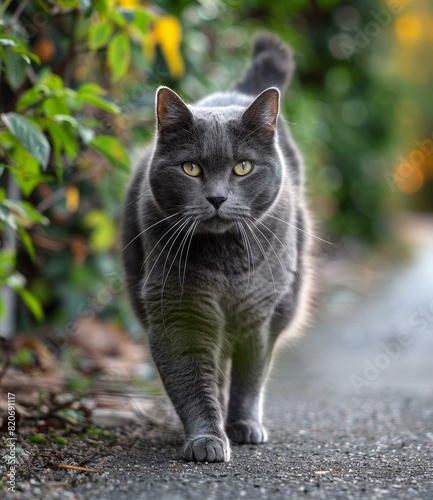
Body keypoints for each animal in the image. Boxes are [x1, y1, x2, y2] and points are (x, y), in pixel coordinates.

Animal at [120, 35, 310, 462]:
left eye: (243, 167)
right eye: (191, 168)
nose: (218, 198)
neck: (227, 264)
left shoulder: (259, 313)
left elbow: (250, 376)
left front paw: (243, 426)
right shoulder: (178, 309)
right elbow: (191, 380)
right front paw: (206, 438)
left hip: (288, 296)